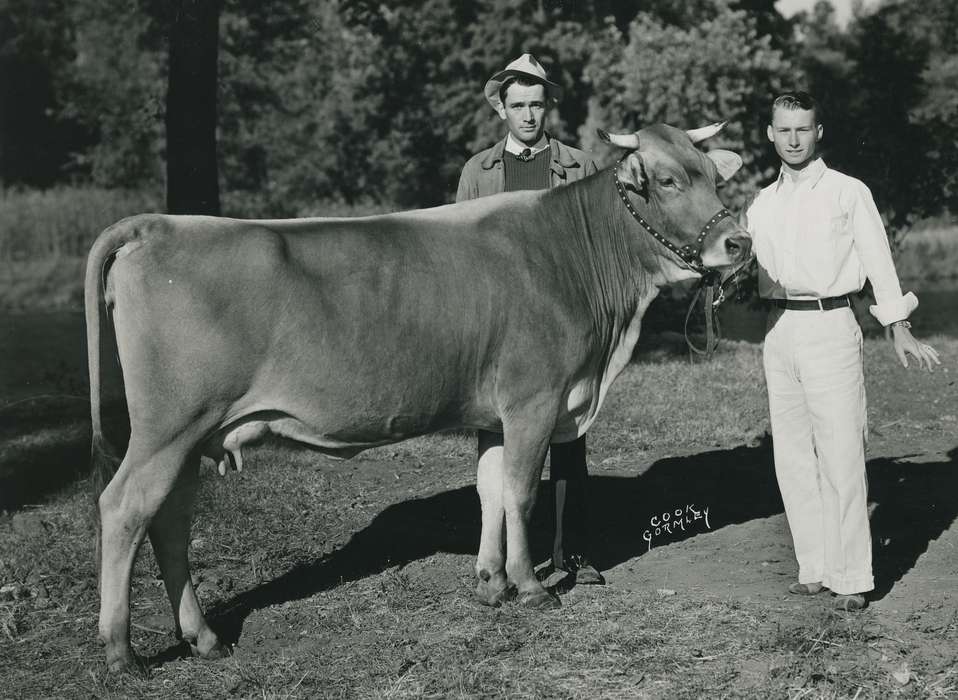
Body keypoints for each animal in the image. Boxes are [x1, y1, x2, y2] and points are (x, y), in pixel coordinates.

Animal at [86, 122, 751, 672]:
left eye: (714, 175)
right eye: (667, 180)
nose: (738, 244)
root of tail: (160, 223)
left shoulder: (495, 414)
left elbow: (489, 491)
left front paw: (491, 583)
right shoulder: (534, 400)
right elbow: (521, 493)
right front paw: (530, 587)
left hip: (193, 436)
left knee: (169, 520)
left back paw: (203, 638)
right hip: (167, 427)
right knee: (124, 508)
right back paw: (121, 653)